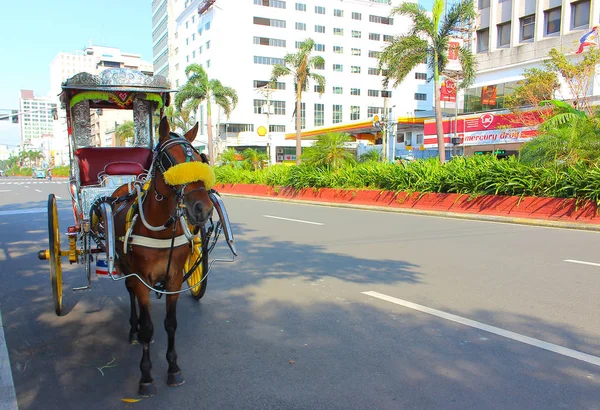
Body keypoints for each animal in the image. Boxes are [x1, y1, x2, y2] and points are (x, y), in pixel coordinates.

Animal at [108, 116, 216, 398]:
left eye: (200, 159)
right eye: (170, 162)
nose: (203, 208)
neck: (159, 228)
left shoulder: (174, 279)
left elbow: (170, 324)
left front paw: (173, 367)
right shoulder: (142, 278)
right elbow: (148, 327)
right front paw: (146, 376)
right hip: (126, 266)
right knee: (130, 291)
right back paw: (133, 329)